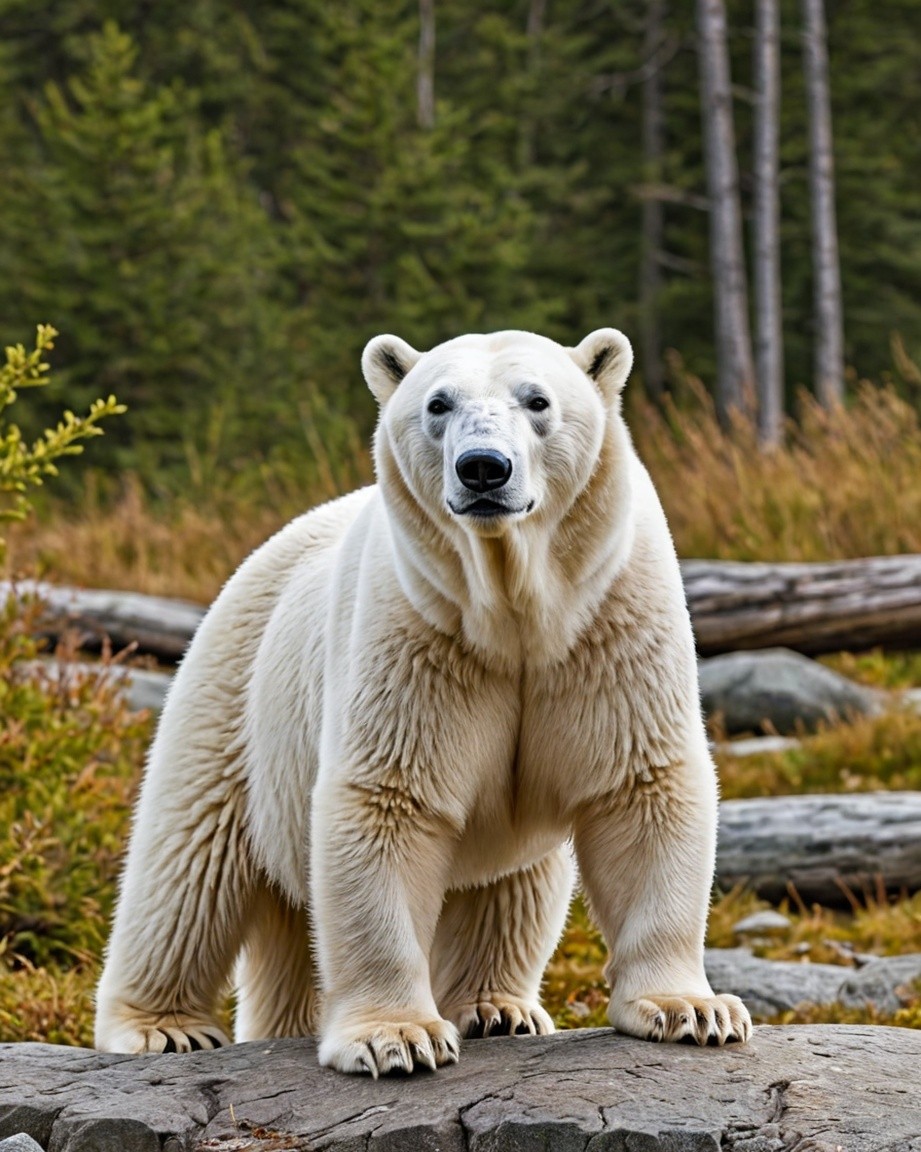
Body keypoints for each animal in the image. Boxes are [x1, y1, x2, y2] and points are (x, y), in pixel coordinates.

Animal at [94, 328, 752, 1076]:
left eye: (537, 400)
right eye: (438, 403)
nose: (483, 469)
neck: (514, 613)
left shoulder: (611, 623)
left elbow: (640, 785)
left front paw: (692, 1010)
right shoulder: (411, 632)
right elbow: (387, 800)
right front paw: (396, 1037)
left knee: (512, 886)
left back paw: (497, 1008)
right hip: (236, 689)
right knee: (190, 860)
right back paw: (162, 1026)